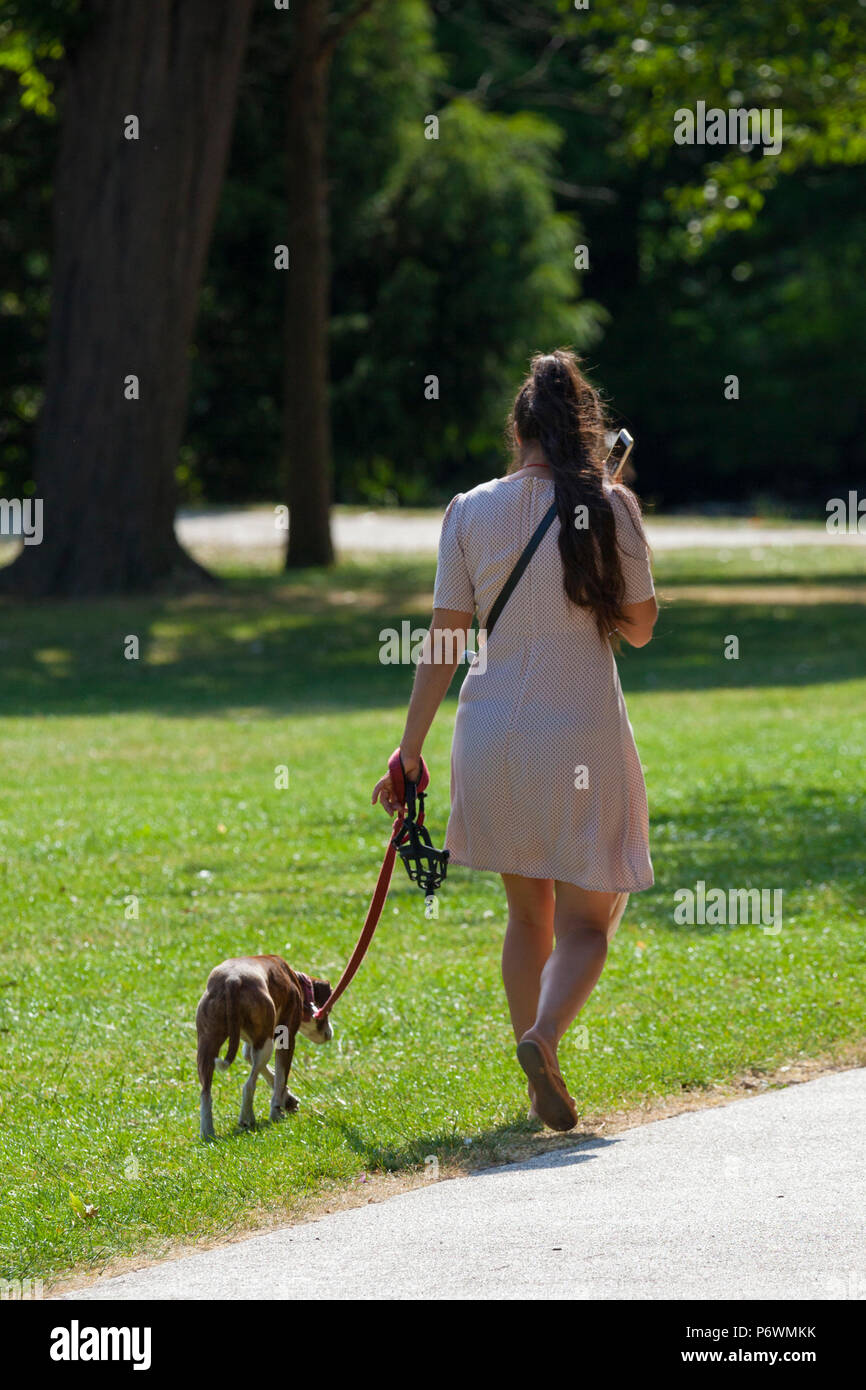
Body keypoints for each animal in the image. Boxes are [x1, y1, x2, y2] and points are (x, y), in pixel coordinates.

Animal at [195, 956, 332, 1139]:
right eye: (327, 1010)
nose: (330, 1034)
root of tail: (232, 980)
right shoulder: (286, 1039)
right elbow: (280, 1077)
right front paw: (277, 1111)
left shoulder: (251, 1044)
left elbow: (264, 1069)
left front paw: (288, 1099)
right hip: (265, 1044)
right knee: (248, 1085)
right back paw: (247, 1118)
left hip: (208, 1046)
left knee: (205, 1093)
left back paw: (207, 1133)